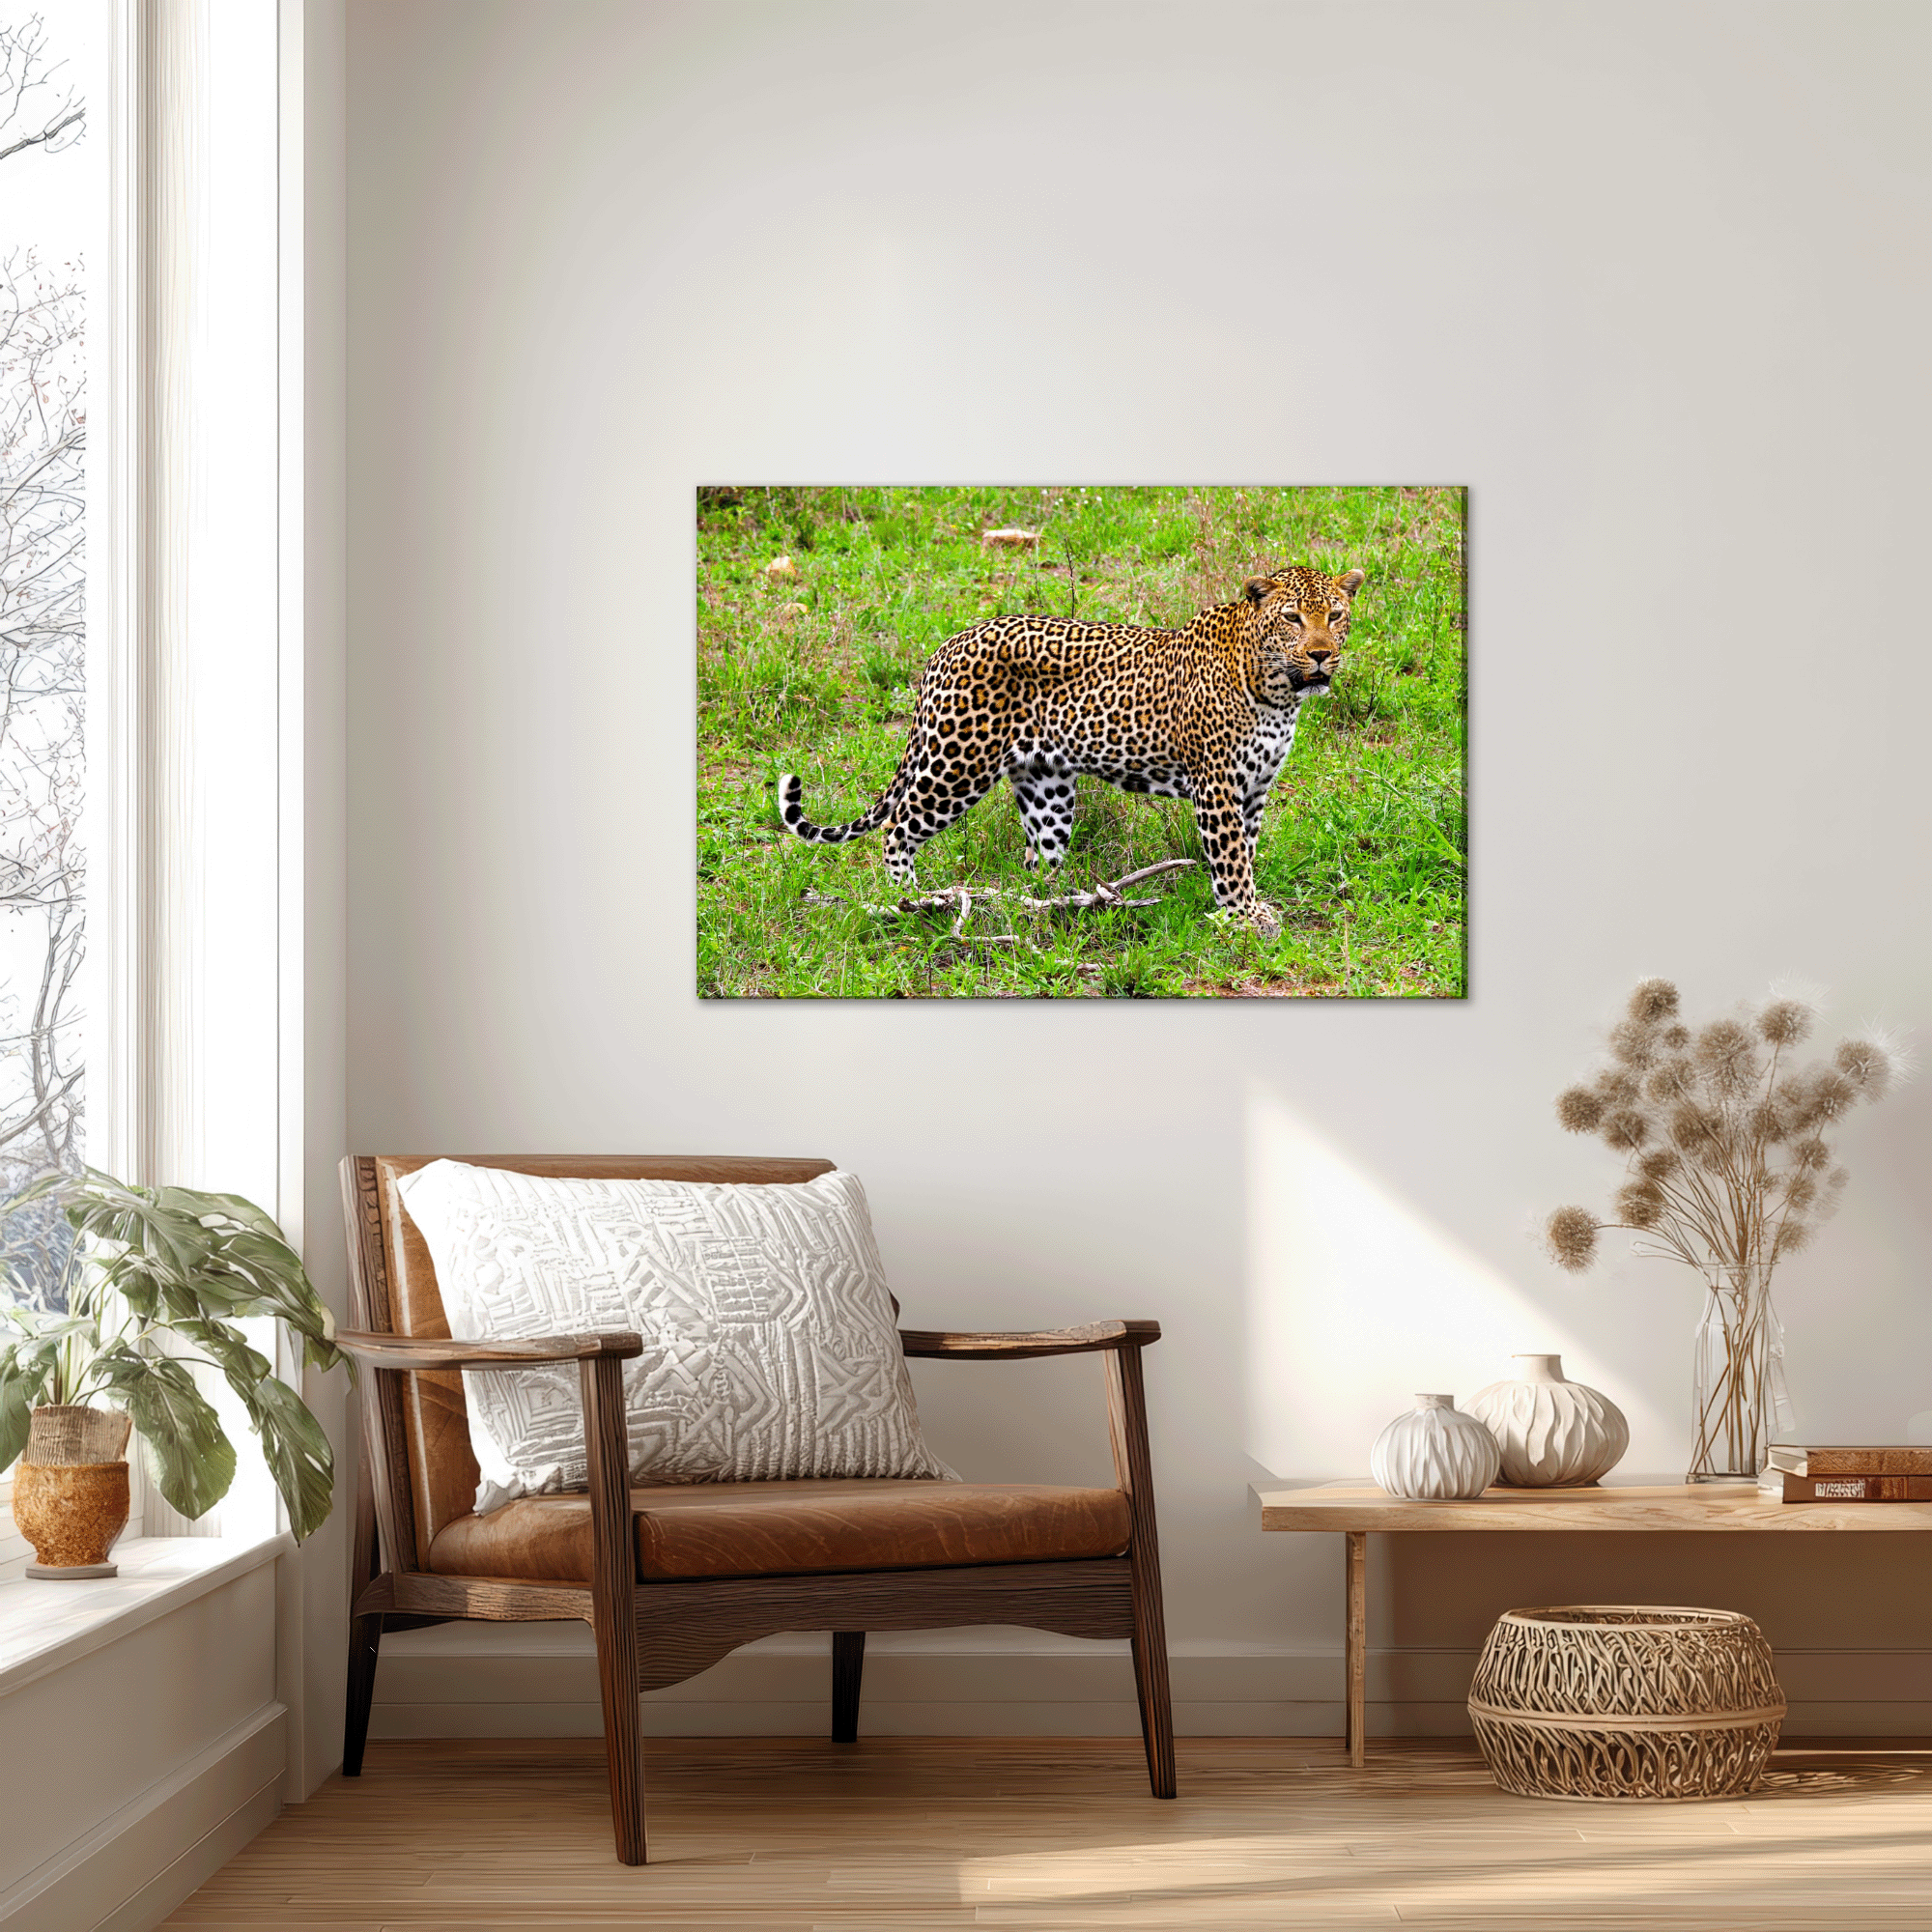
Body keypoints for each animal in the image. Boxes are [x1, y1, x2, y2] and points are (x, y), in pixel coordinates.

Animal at [778, 566, 1364, 933]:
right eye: (1291, 618)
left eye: (1335, 616)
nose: (1320, 654)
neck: (1279, 692)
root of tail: (945, 646)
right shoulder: (1217, 785)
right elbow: (1231, 859)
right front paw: (1245, 918)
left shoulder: (1256, 787)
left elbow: (1247, 850)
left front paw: (1247, 908)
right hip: (957, 764)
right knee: (898, 828)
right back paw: (906, 899)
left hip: (1047, 788)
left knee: (1036, 858)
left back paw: (1050, 903)